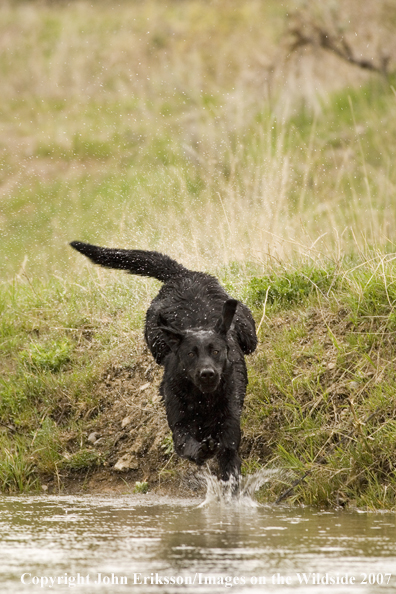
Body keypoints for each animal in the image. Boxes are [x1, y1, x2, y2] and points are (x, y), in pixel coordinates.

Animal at [71, 240, 256, 480]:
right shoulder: (179, 424)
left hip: (249, 334)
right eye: (190, 354)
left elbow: (230, 467)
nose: (207, 373)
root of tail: (183, 274)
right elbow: (186, 443)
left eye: (216, 351)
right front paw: (202, 449)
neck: (203, 398)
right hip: (155, 336)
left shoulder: (229, 432)